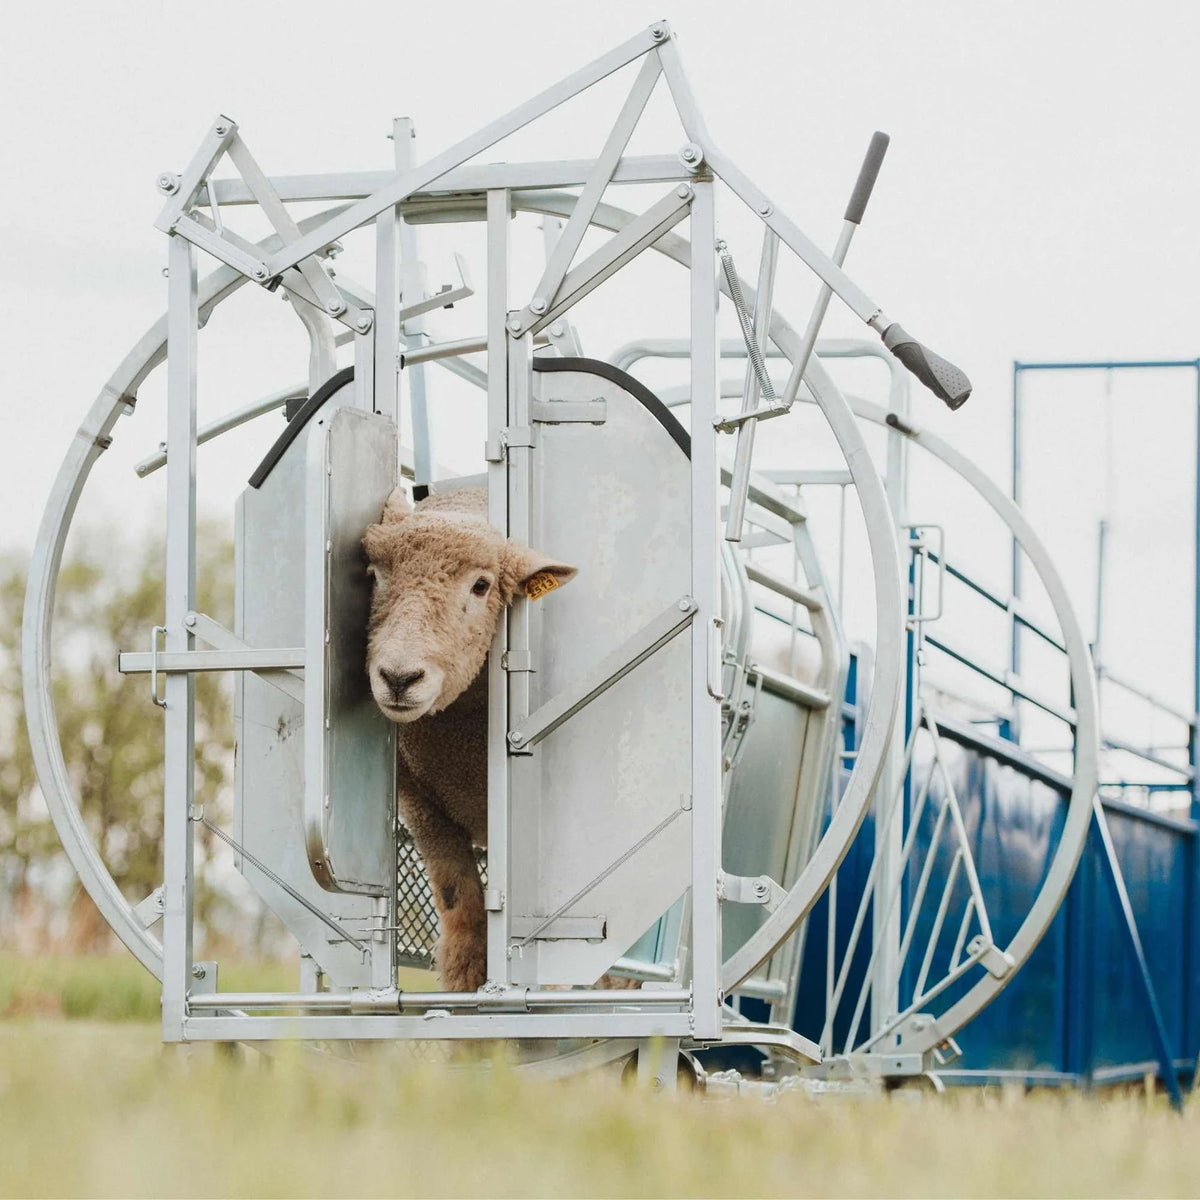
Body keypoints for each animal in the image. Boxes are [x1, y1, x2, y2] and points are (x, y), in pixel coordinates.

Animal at [362, 486, 576, 992]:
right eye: (374, 576)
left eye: (481, 586)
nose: (398, 678)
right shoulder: (421, 805)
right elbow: (460, 906)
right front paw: (467, 983)